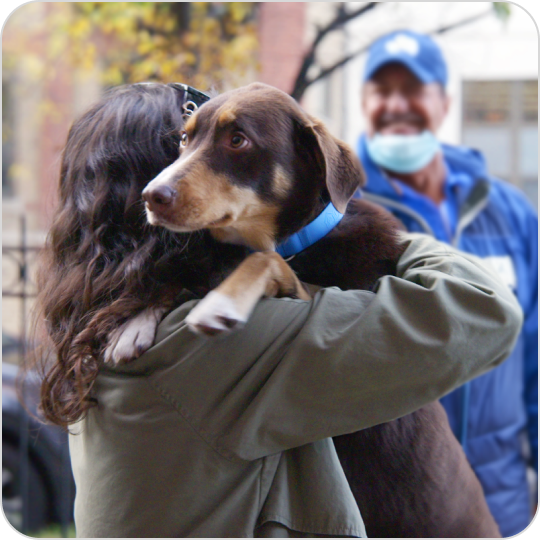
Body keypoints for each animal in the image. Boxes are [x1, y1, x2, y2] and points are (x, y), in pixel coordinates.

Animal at [110, 82, 502, 536]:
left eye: (238, 140)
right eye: (184, 139)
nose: (151, 196)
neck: (297, 242)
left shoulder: (328, 301)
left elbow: (262, 262)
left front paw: (220, 301)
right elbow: (185, 278)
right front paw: (133, 323)